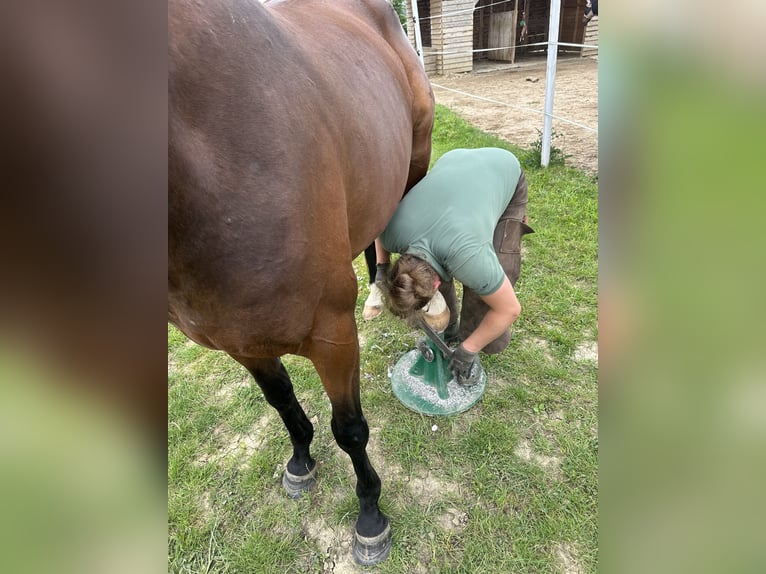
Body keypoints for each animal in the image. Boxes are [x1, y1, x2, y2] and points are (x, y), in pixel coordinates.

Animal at [170, 0, 432, 568]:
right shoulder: (241, 341)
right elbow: (283, 401)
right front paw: (300, 460)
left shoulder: (333, 337)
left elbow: (350, 429)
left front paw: (370, 516)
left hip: (415, 163)